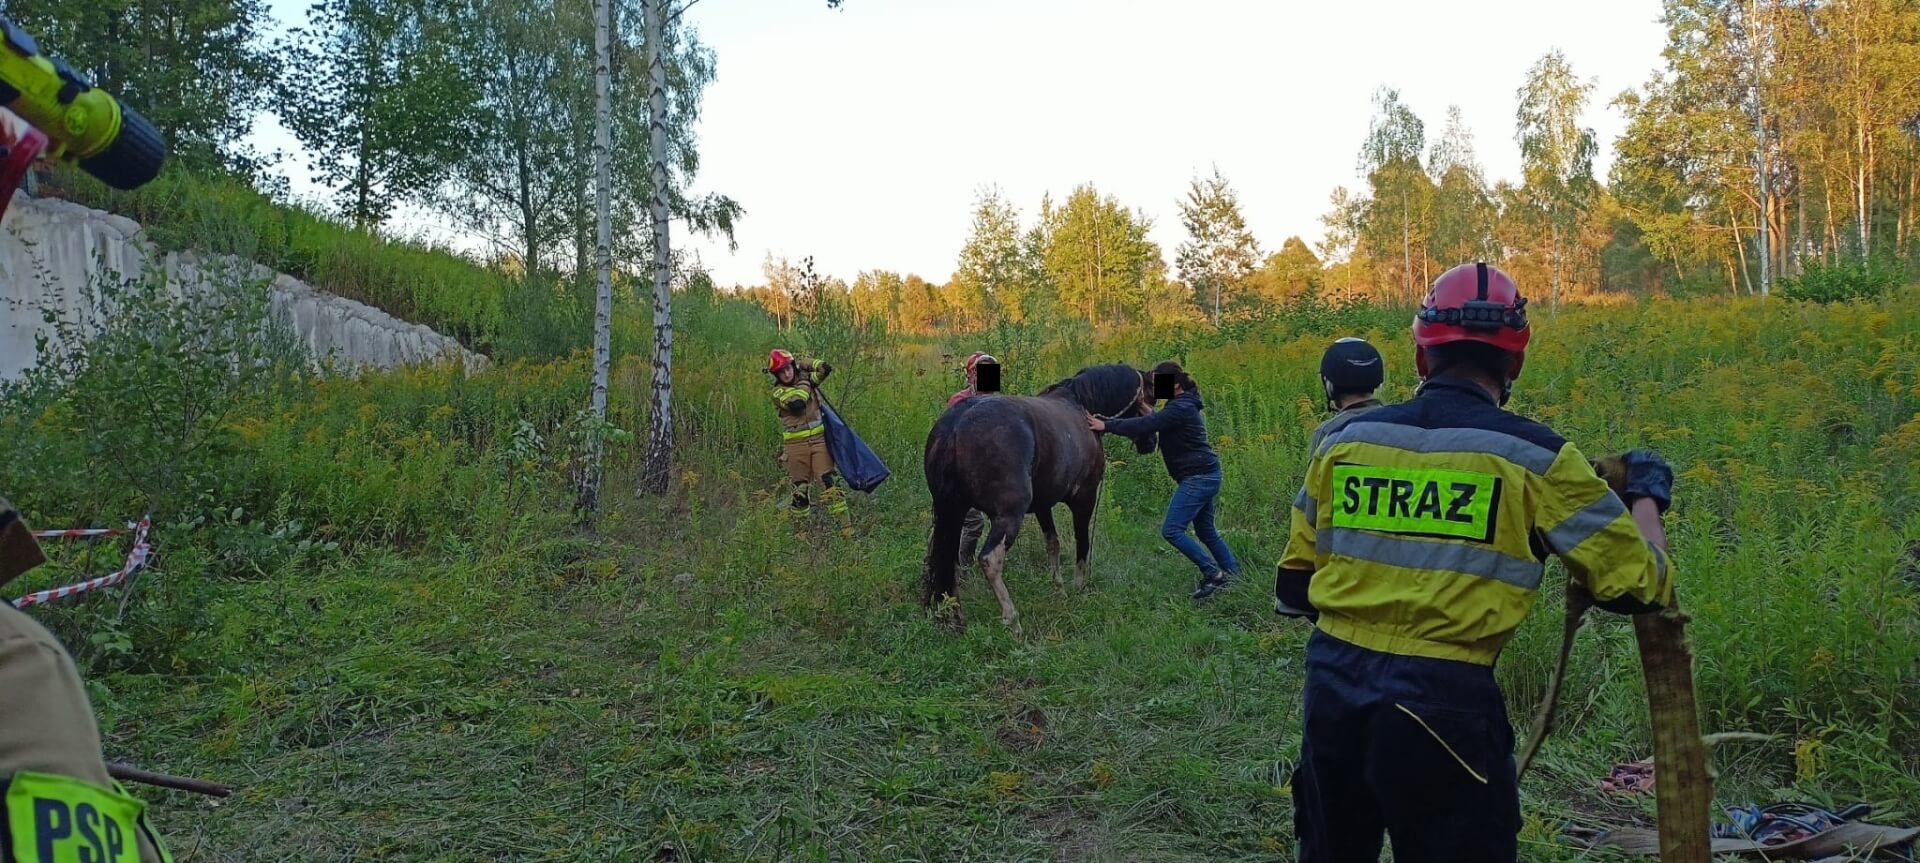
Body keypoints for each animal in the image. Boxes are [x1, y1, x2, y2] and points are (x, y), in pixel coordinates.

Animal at [925, 359, 1152, 630]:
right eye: (1148, 396)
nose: (1152, 441)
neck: (1081, 405)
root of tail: (956, 425)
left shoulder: (1043, 505)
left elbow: (1053, 543)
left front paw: (1059, 590)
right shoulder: (1084, 499)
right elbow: (1082, 544)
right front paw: (1079, 588)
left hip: (951, 511)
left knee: (946, 558)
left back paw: (954, 615)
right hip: (1008, 515)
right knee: (990, 559)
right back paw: (1012, 621)